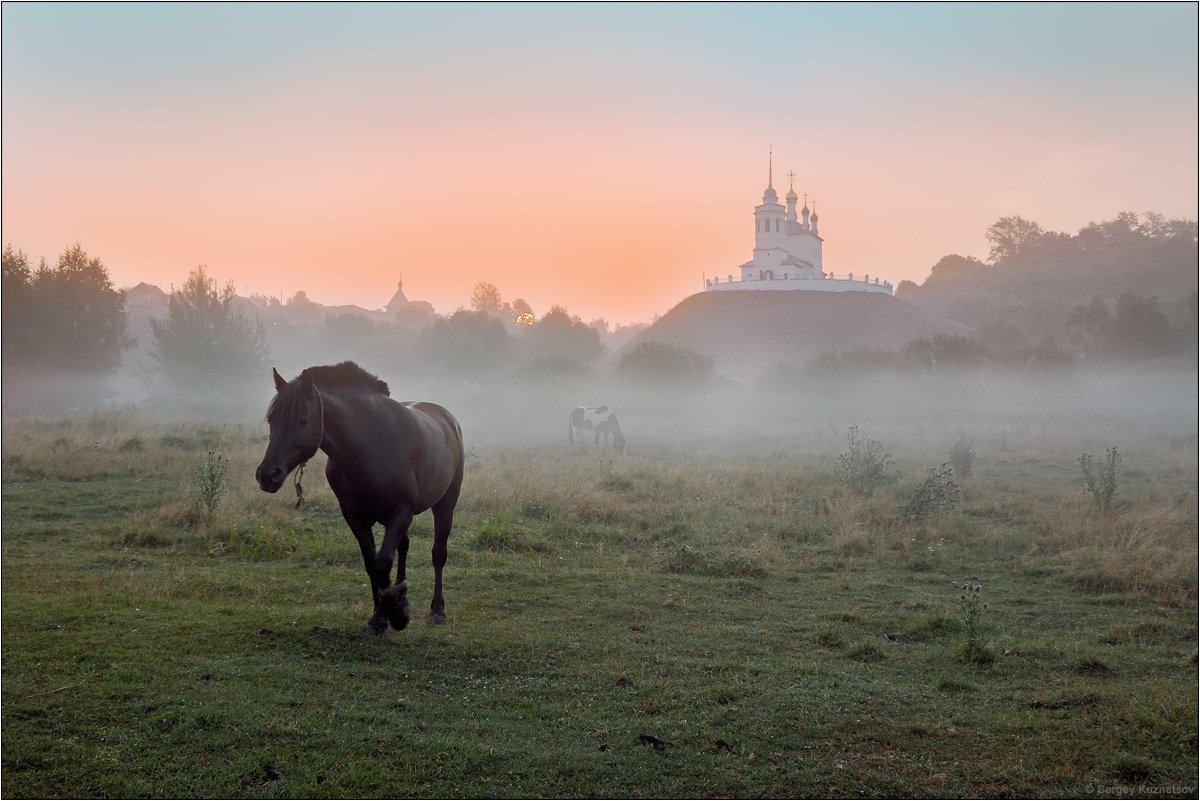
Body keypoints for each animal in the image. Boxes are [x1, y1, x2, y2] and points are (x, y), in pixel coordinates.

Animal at [253, 364, 463, 637]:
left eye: (303, 420)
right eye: (271, 420)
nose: (268, 474)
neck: (370, 447)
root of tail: (447, 419)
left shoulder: (400, 513)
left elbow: (382, 562)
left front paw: (396, 616)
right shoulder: (355, 517)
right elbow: (372, 564)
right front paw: (380, 617)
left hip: (445, 504)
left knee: (438, 553)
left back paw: (437, 610)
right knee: (404, 547)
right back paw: (403, 597)